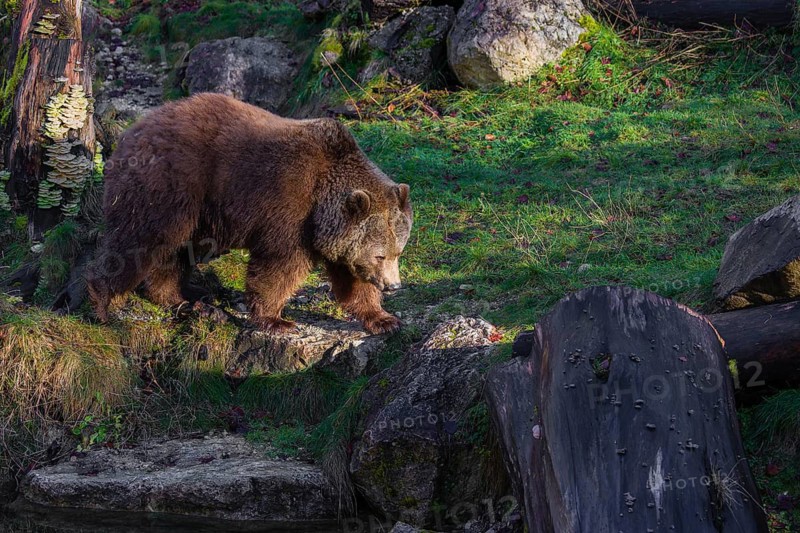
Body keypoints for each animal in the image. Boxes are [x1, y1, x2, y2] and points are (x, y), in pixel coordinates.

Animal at [86, 93, 412, 334]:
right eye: (380, 255)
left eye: (398, 252)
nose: (394, 286)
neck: (323, 200)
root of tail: (134, 130)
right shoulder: (290, 207)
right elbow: (278, 266)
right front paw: (277, 320)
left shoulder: (336, 236)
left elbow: (352, 279)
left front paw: (384, 319)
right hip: (170, 187)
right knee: (138, 241)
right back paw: (102, 304)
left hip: (193, 212)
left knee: (174, 252)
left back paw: (177, 299)